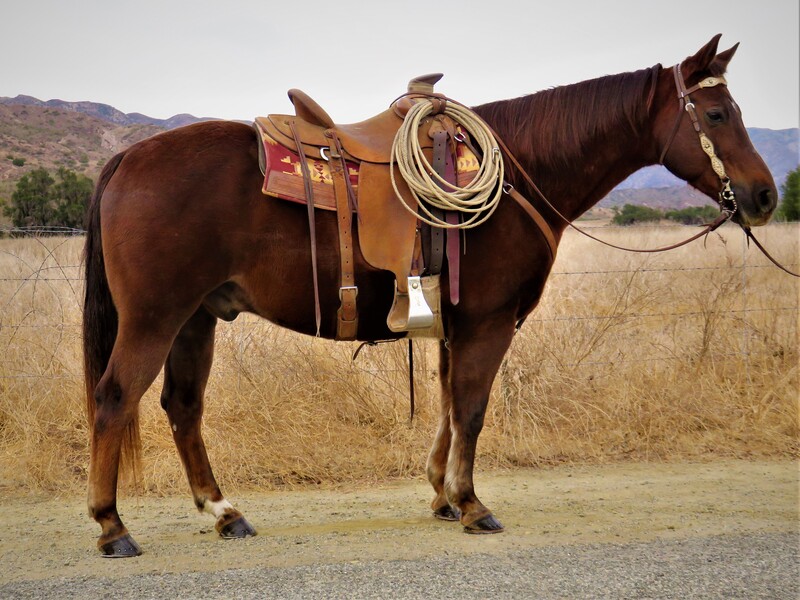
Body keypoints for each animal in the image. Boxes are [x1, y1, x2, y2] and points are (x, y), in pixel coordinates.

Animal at [83, 35, 776, 556]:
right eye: (717, 116)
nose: (766, 195)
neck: (523, 169)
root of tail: (126, 159)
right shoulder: (489, 322)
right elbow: (471, 408)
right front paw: (471, 504)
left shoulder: (454, 324)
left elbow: (447, 404)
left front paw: (443, 495)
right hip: (155, 318)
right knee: (115, 398)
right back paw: (113, 526)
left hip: (196, 318)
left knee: (182, 406)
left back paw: (226, 512)